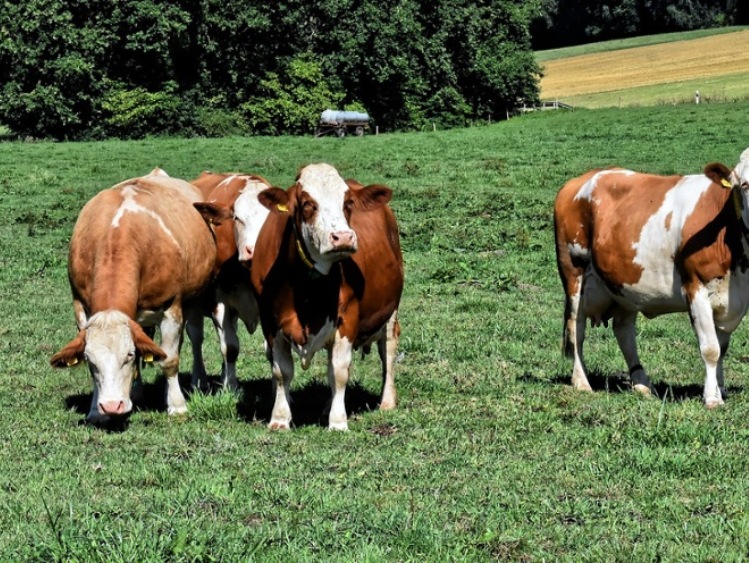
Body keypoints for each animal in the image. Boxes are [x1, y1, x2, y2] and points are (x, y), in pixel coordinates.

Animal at [50, 170, 216, 426]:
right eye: (89, 359)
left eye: (128, 355)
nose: (111, 405)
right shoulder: (80, 307)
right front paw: (96, 411)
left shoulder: (171, 308)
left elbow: (169, 360)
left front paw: (177, 406)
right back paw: (136, 391)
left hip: (196, 298)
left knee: (194, 337)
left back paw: (199, 381)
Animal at [187, 172, 272, 392]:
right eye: (237, 218)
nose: (254, 251)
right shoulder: (219, 302)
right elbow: (231, 348)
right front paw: (231, 388)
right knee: (196, 337)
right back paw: (199, 379)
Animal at [250, 163, 404, 432]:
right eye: (307, 203)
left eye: (348, 202)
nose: (343, 237)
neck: (307, 290)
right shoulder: (270, 322)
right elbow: (281, 371)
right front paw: (280, 418)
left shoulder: (347, 319)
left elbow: (339, 371)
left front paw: (338, 421)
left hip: (391, 311)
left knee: (388, 350)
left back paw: (386, 401)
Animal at [552, 149, 748, 406]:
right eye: (745, 185)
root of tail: (580, 180)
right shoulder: (696, 288)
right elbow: (711, 349)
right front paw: (711, 399)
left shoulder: (733, 297)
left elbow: (722, 347)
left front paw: (720, 390)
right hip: (574, 272)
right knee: (577, 328)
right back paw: (581, 382)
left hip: (624, 284)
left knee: (623, 331)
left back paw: (642, 383)